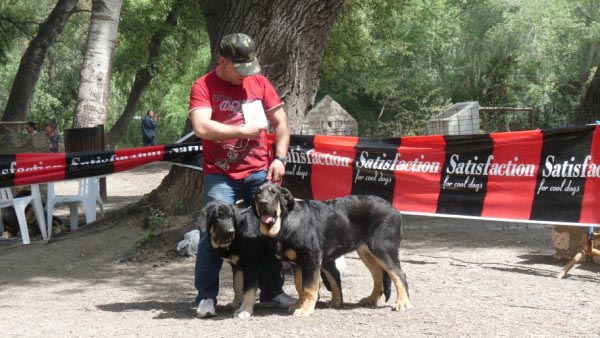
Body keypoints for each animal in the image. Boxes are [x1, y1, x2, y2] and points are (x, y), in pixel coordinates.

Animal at [253, 182, 412, 316]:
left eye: (273, 192)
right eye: (258, 193)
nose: (263, 203)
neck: (285, 222)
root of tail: (394, 209)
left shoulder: (311, 259)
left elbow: (309, 288)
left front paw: (305, 309)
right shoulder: (297, 263)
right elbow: (299, 286)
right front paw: (299, 304)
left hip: (382, 248)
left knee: (399, 274)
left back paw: (402, 303)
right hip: (366, 252)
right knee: (378, 276)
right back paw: (370, 299)